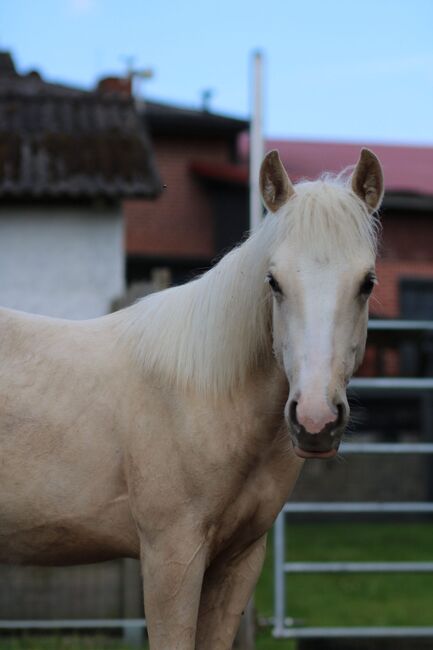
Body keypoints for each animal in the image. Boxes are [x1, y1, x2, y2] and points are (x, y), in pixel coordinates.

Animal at [1, 148, 384, 648]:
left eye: (367, 283)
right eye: (274, 282)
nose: (315, 420)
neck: (201, 399)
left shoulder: (238, 561)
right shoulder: (172, 557)